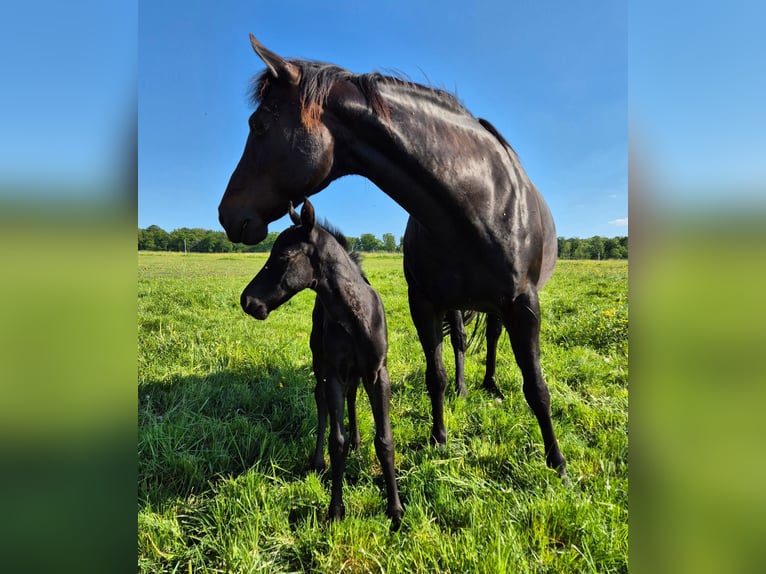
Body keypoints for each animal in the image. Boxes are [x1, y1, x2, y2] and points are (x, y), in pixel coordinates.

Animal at [219, 35, 566, 478]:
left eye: (259, 124)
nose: (226, 214)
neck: (477, 200)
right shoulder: (424, 302)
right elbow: (434, 374)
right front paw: (439, 438)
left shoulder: (523, 302)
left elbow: (536, 386)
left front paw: (557, 462)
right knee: (463, 342)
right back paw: (466, 387)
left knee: (490, 336)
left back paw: (489, 384)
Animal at [239, 198, 404, 527]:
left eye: (284, 256)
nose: (248, 301)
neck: (356, 318)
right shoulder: (333, 374)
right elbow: (336, 440)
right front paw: (335, 510)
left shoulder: (378, 373)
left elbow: (385, 441)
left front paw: (395, 510)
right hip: (321, 368)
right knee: (321, 402)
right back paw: (317, 461)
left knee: (352, 397)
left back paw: (357, 440)